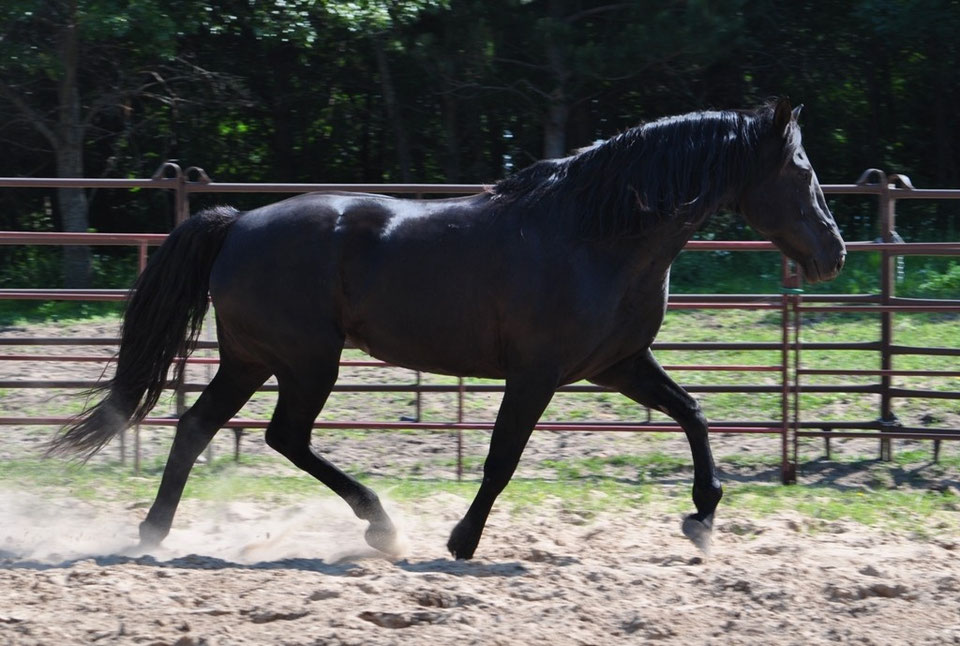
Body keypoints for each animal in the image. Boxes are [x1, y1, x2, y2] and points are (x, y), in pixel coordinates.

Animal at [49, 98, 845, 560]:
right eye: (802, 170)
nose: (834, 252)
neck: (597, 236)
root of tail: (237, 222)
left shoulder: (616, 364)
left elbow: (693, 413)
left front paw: (703, 516)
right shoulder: (537, 375)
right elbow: (500, 460)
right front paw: (463, 542)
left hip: (254, 359)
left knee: (200, 428)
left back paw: (155, 532)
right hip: (305, 362)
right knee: (281, 436)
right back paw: (379, 525)